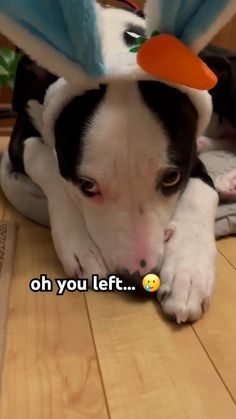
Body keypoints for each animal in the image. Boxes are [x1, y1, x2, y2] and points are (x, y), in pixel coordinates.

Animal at [6, 4, 219, 324]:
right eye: (87, 185)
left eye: (171, 178)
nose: (139, 278)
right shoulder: (20, 137)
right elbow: (44, 160)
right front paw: (81, 244)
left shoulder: (190, 156)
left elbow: (204, 189)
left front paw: (188, 270)